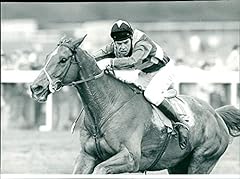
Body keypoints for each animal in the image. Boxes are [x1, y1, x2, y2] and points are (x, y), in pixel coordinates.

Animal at [30, 35, 240, 174]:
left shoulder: (130, 158)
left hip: (202, 160)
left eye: (63, 59)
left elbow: (101, 169)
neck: (106, 108)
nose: (36, 87)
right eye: (47, 57)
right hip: (177, 165)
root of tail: (216, 115)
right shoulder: (86, 156)